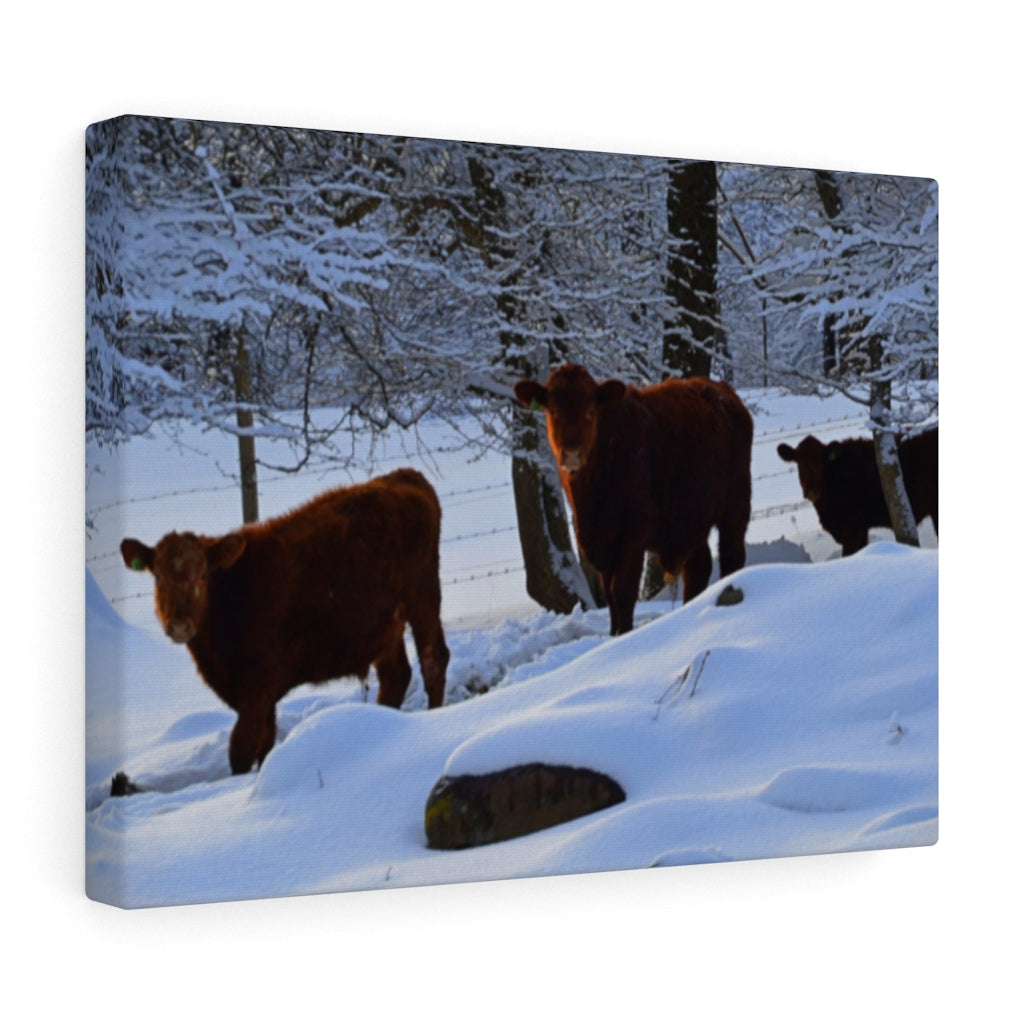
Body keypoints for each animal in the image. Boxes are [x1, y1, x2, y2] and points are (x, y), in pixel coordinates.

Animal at [121, 468, 450, 774]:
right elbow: (264, 746)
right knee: (396, 675)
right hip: (386, 627)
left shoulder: (258, 686)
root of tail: (403, 476)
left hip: (422, 596)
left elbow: (241, 750)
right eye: (158, 576)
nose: (179, 625)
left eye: (203, 574)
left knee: (433, 660)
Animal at [514, 364, 754, 636]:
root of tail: (723, 392)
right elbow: (609, 597)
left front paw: (625, 635)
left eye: (590, 411)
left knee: (732, 557)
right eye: (553, 411)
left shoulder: (633, 533)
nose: (572, 453)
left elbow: (622, 592)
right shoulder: (599, 541)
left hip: (736, 506)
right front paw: (613, 635)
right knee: (698, 568)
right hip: (691, 520)